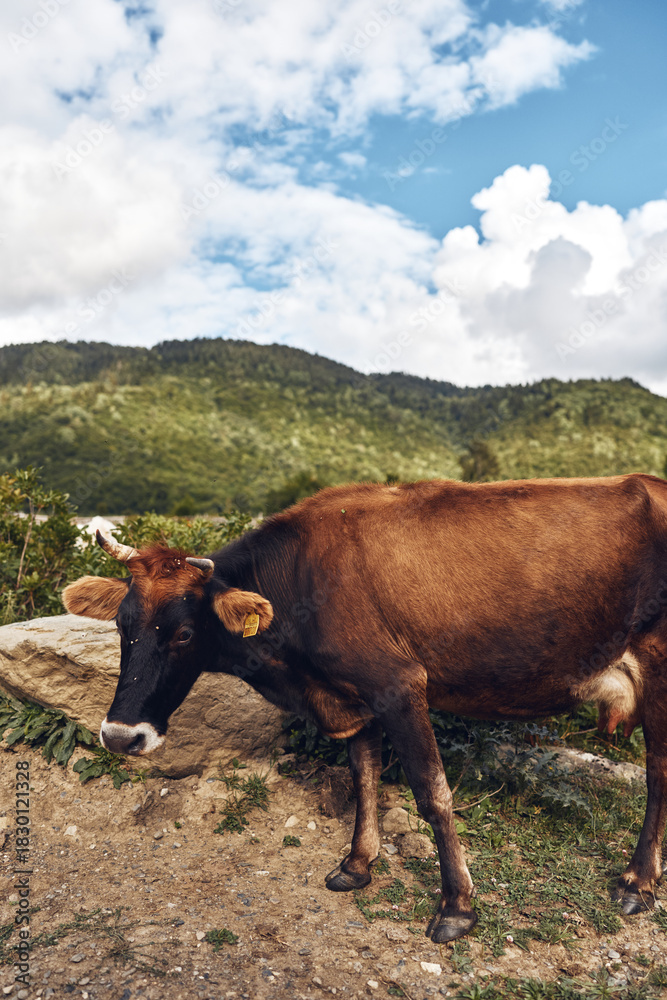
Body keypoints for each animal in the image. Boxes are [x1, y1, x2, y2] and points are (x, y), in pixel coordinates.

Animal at [62, 474, 667, 943]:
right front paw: (357, 864)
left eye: (184, 633)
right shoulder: (353, 697)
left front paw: (457, 907)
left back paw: (637, 882)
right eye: (121, 624)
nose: (120, 735)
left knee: (658, 773)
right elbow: (364, 776)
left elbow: (432, 794)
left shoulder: (399, 684)